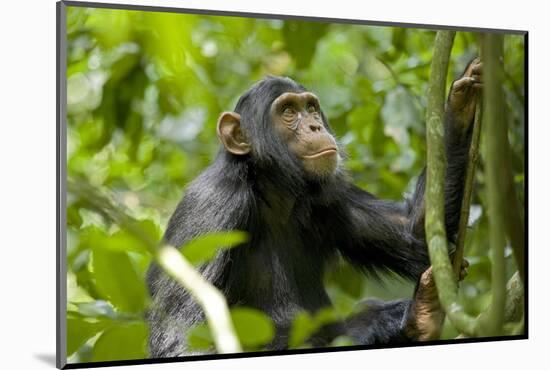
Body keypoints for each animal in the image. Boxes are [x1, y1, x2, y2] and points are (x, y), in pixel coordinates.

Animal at [146, 59, 484, 356]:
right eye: (287, 111)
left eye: (309, 107)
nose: (313, 125)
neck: (271, 189)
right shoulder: (212, 207)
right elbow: (183, 340)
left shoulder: (330, 195)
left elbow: (412, 230)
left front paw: (462, 99)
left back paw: (420, 315)